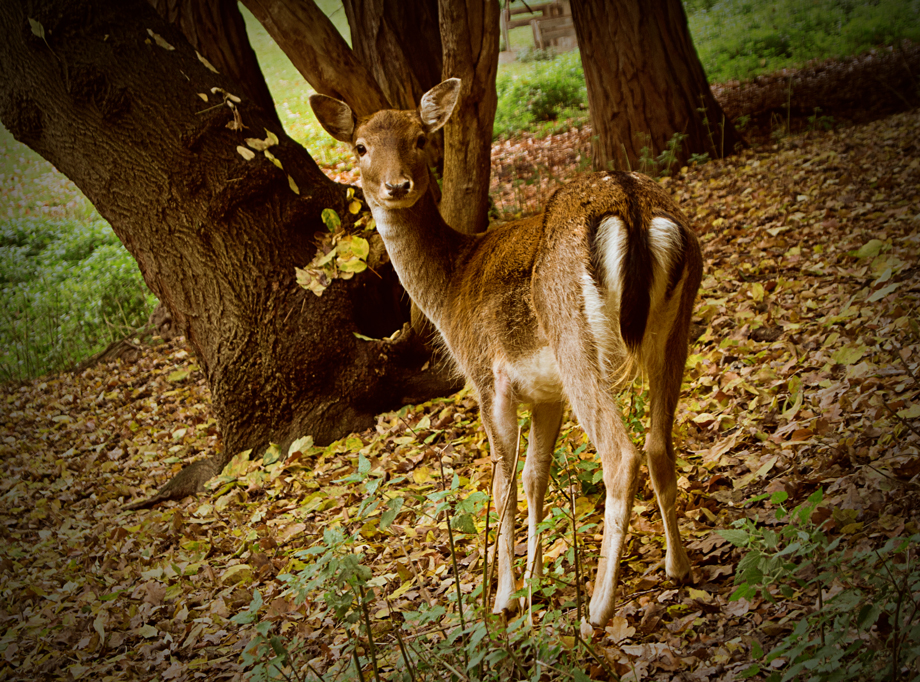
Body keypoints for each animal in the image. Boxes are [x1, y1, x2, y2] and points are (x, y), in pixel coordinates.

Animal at [310, 79, 704, 628]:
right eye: (361, 147)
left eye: (419, 139)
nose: (396, 186)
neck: (449, 289)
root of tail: (631, 205)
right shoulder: (545, 392)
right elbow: (535, 477)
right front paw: (536, 583)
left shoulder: (485, 377)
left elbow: (502, 485)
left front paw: (504, 597)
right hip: (677, 326)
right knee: (658, 444)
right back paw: (679, 567)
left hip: (573, 333)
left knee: (620, 452)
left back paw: (598, 608)